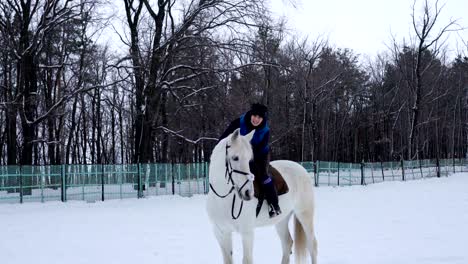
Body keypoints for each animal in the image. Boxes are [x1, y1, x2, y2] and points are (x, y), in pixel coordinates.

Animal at [206, 129, 318, 262]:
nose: (248, 193)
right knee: (287, 243)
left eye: (249, 159)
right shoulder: (221, 233)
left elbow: (247, 260)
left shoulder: (247, 233)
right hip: (281, 220)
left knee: (312, 245)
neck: (223, 200)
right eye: (235, 158)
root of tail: (302, 169)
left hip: (304, 214)